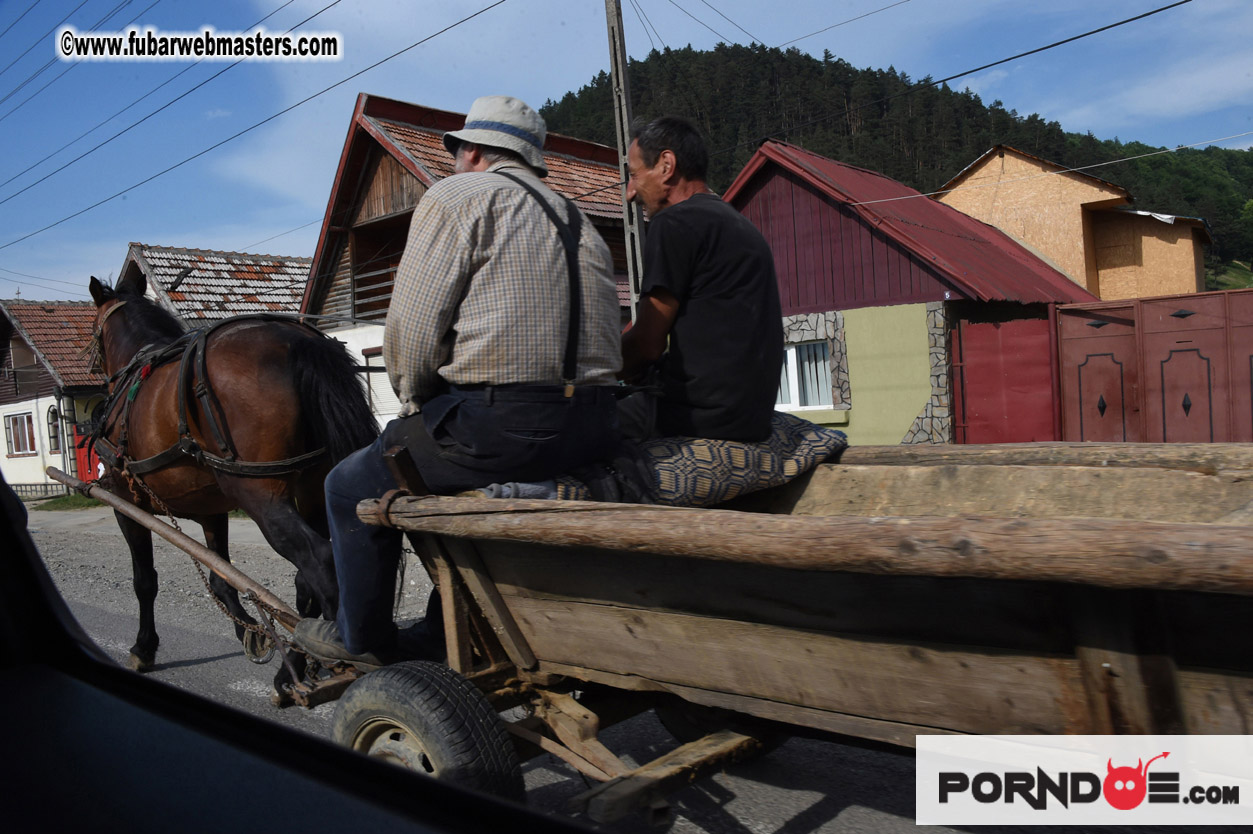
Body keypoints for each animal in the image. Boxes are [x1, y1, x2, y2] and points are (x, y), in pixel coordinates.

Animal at [86, 272, 378, 686]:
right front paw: (250, 633)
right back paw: (296, 664)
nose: (95, 370)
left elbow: (145, 580)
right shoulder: (212, 511)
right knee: (309, 577)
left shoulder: (125, 504)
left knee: (319, 563)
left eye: (94, 331)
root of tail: (299, 341)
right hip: (313, 492)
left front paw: (144, 648)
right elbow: (222, 578)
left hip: (262, 498)